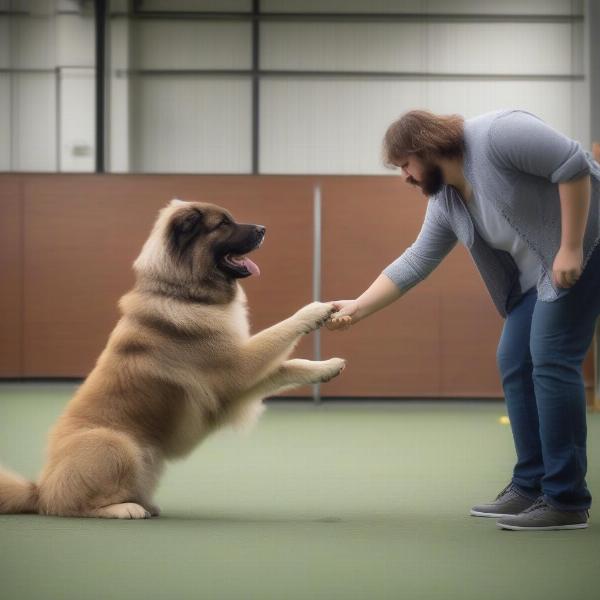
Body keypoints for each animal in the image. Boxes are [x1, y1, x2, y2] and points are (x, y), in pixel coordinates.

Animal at [0, 199, 346, 516]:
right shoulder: (239, 365)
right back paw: (126, 509)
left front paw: (327, 367)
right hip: (114, 443)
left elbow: (289, 366)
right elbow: (282, 330)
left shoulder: (235, 387)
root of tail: (40, 488)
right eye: (223, 224)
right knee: (69, 506)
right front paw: (316, 310)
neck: (183, 294)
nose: (263, 229)